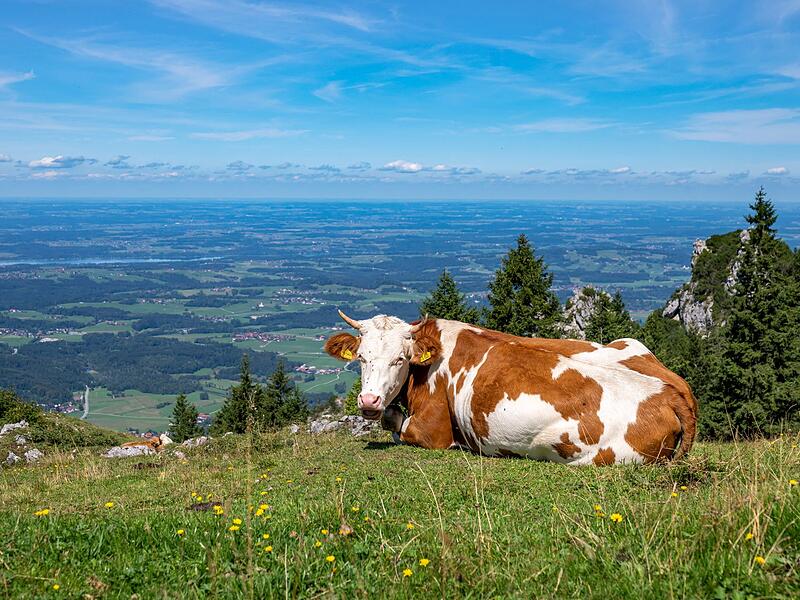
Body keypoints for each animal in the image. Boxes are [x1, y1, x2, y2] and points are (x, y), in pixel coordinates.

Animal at [324, 310, 697, 465]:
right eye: (361, 357)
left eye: (400, 359)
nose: (368, 400)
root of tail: (670, 391)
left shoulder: (432, 431)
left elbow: (394, 423)